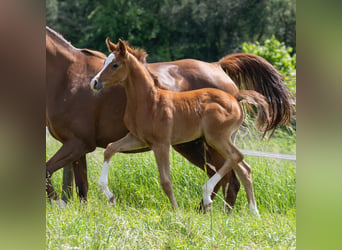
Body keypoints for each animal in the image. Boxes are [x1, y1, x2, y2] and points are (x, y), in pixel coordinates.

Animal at [90, 39, 270, 215]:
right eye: (105, 62)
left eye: (115, 65)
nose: (95, 82)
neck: (149, 101)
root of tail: (236, 98)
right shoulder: (137, 138)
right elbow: (110, 149)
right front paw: (109, 195)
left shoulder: (161, 144)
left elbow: (166, 181)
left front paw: (176, 212)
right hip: (222, 139)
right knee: (244, 168)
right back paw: (254, 212)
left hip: (216, 138)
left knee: (236, 157)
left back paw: (208, 196)